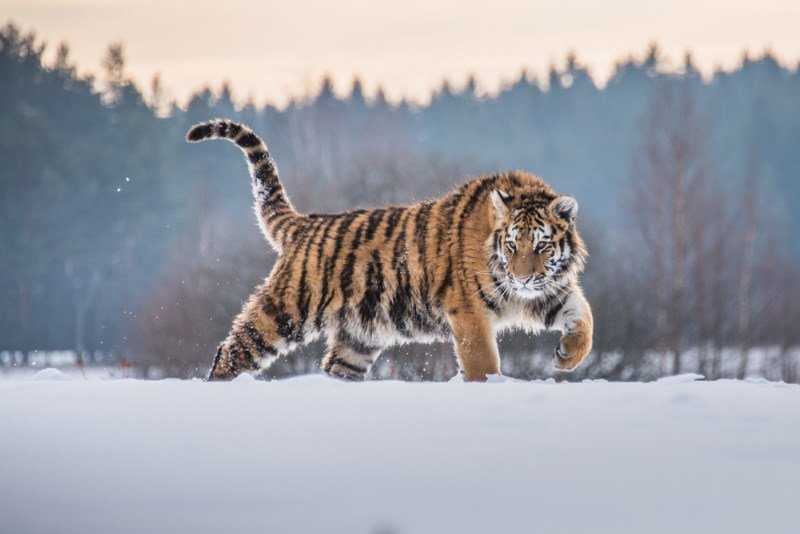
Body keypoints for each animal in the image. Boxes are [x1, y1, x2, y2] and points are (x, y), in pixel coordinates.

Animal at [187, 119, 593, 382]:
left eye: (541, 245)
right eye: (511, 245)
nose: (521, 278)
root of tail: (303, 224)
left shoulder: (547, 289)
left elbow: (583, 316)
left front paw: (567, 357)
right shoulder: (469, 309)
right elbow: (482, 360)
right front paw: (490, 387)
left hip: (359, 338)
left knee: (335, 368)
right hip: (283, 312)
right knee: (231, 351)